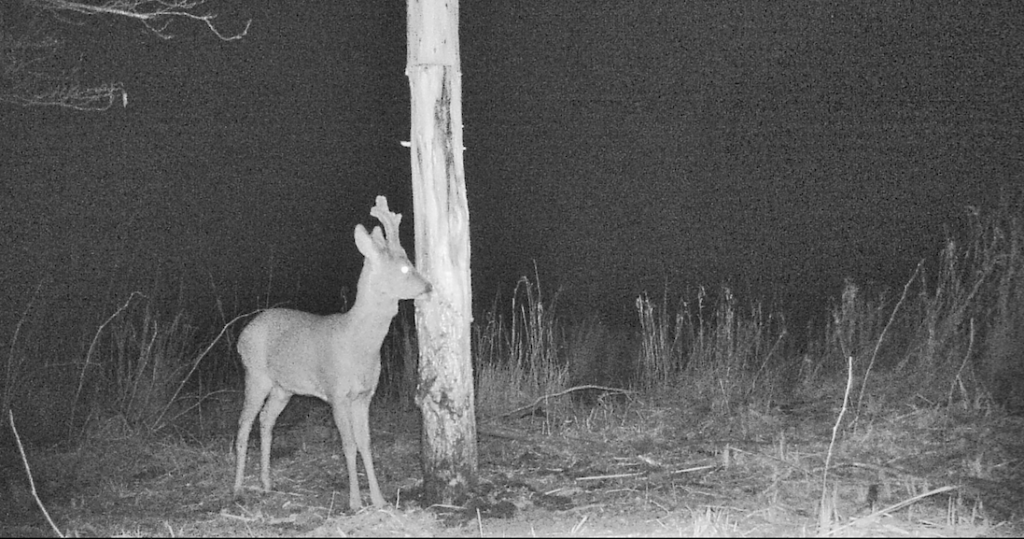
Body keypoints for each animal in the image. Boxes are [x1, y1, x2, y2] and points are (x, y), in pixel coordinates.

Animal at [234, 197, 430, 512]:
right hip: (256, 375)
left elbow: (365, 443)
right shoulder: (336, 392)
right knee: (243, 424)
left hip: (283, 387)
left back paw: (266, 483)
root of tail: (242, 335)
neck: (357, 343)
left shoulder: (364, 395)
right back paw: (238, 489)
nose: (429, 286)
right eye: (403, 268)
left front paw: (379, 500)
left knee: (265, 420)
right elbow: (348, 445)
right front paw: (355, 502)